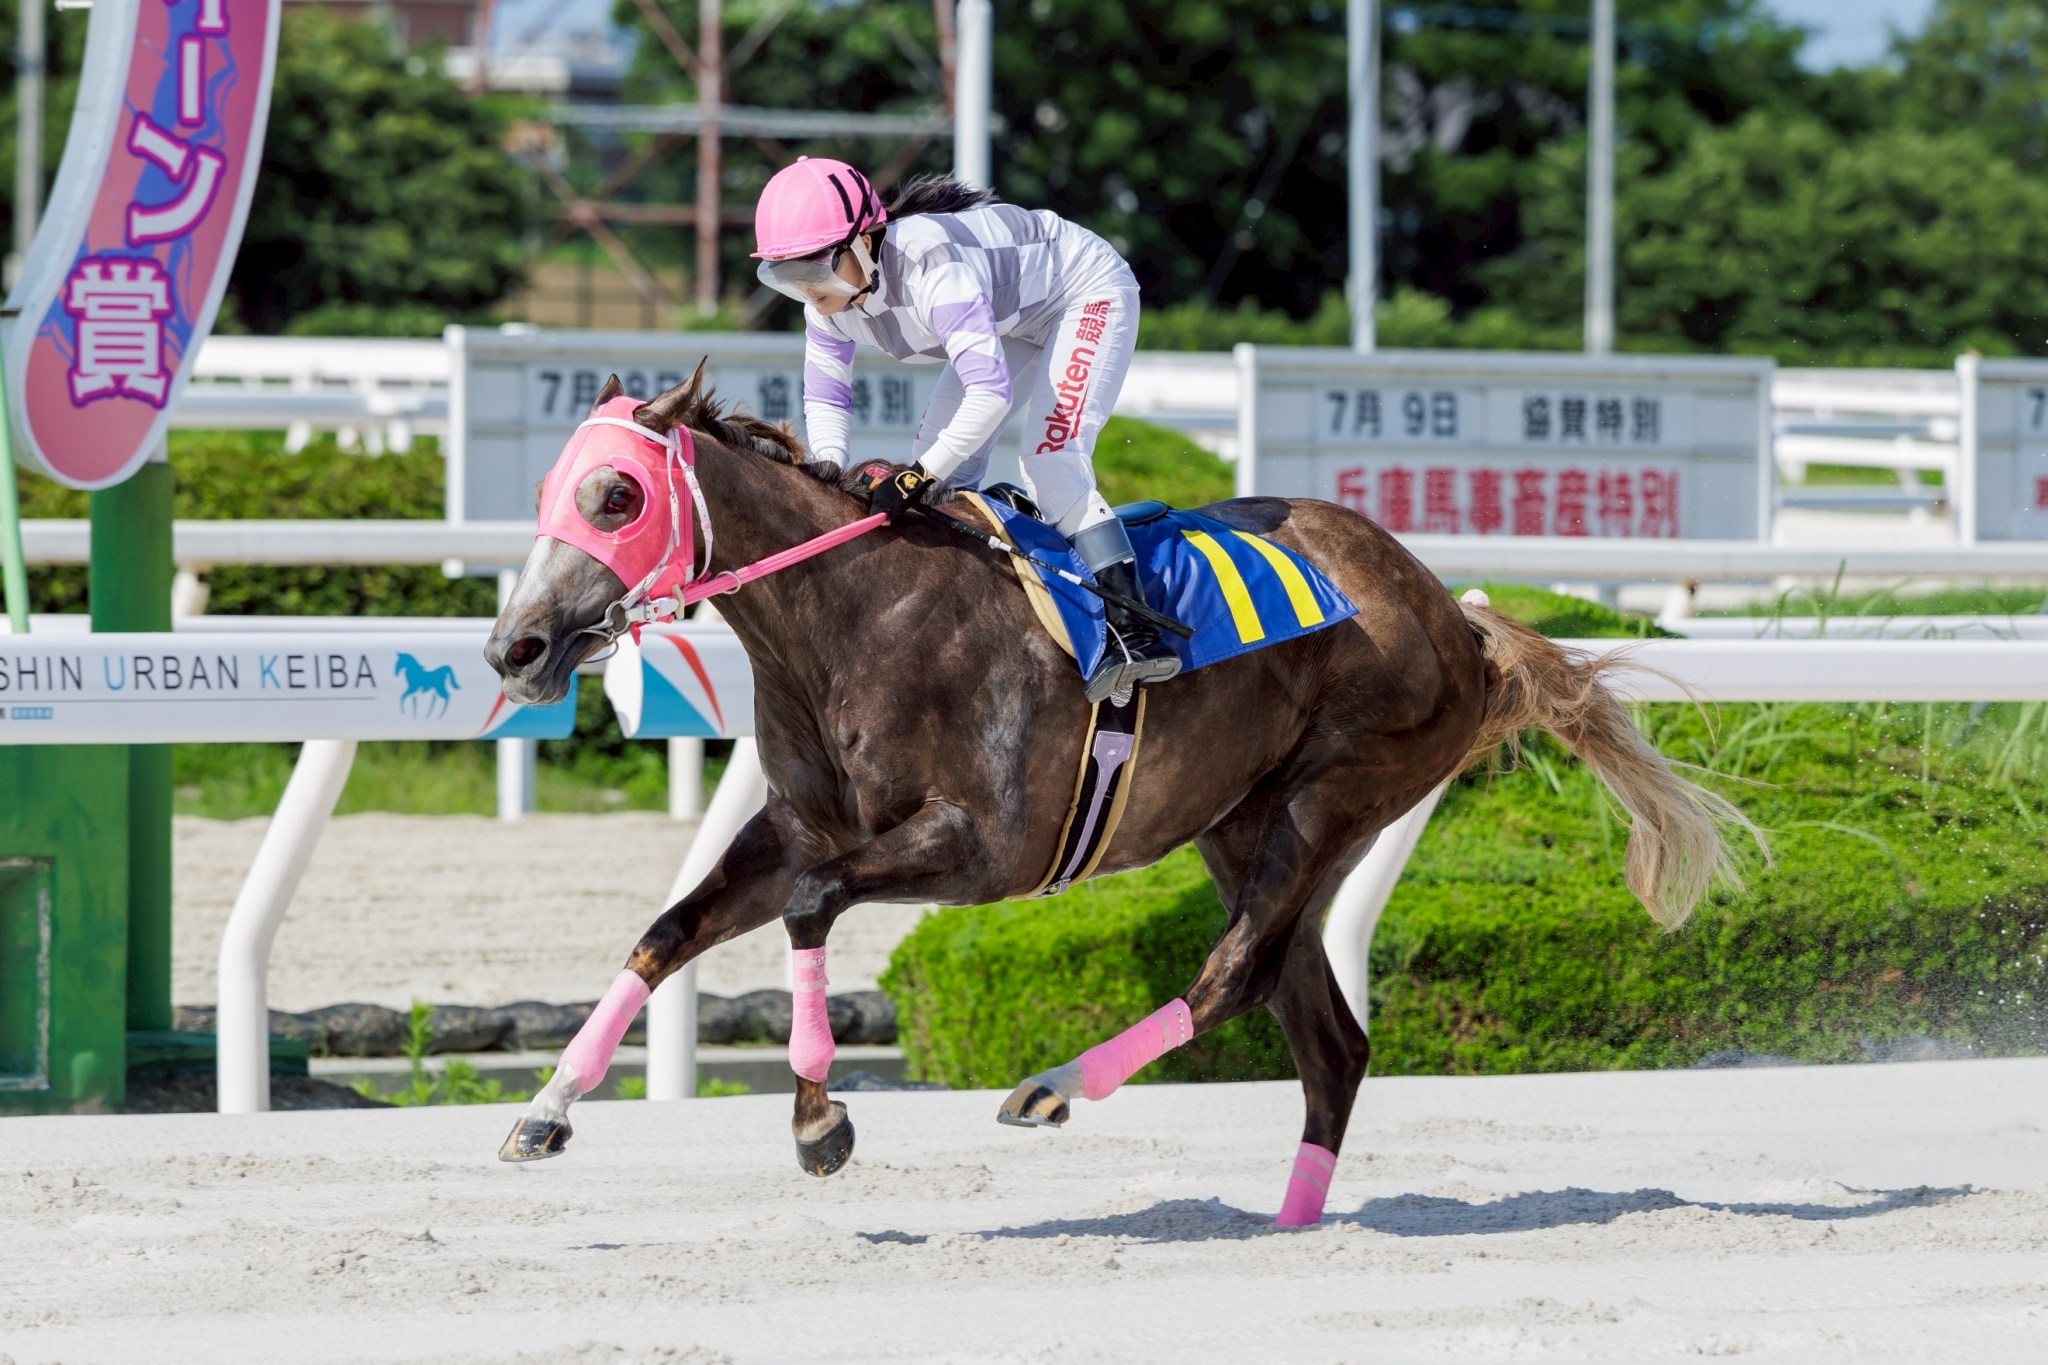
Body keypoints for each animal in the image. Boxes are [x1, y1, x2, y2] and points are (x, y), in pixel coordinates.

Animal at [484, 368, 1753, 1224]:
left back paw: (1050, 1088)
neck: (852, 620)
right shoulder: (796, 829)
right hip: (1243, 825)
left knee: (1234, 976)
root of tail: (1455, 617)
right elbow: (666, 933)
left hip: (1335, 793)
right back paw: (1290, 1226)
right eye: (548, 486)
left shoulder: (981, 847)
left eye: (613, 495)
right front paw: (545, 1108)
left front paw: (819, 1121)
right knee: (1324, 1033)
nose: (514, 647)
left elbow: (809, 912)